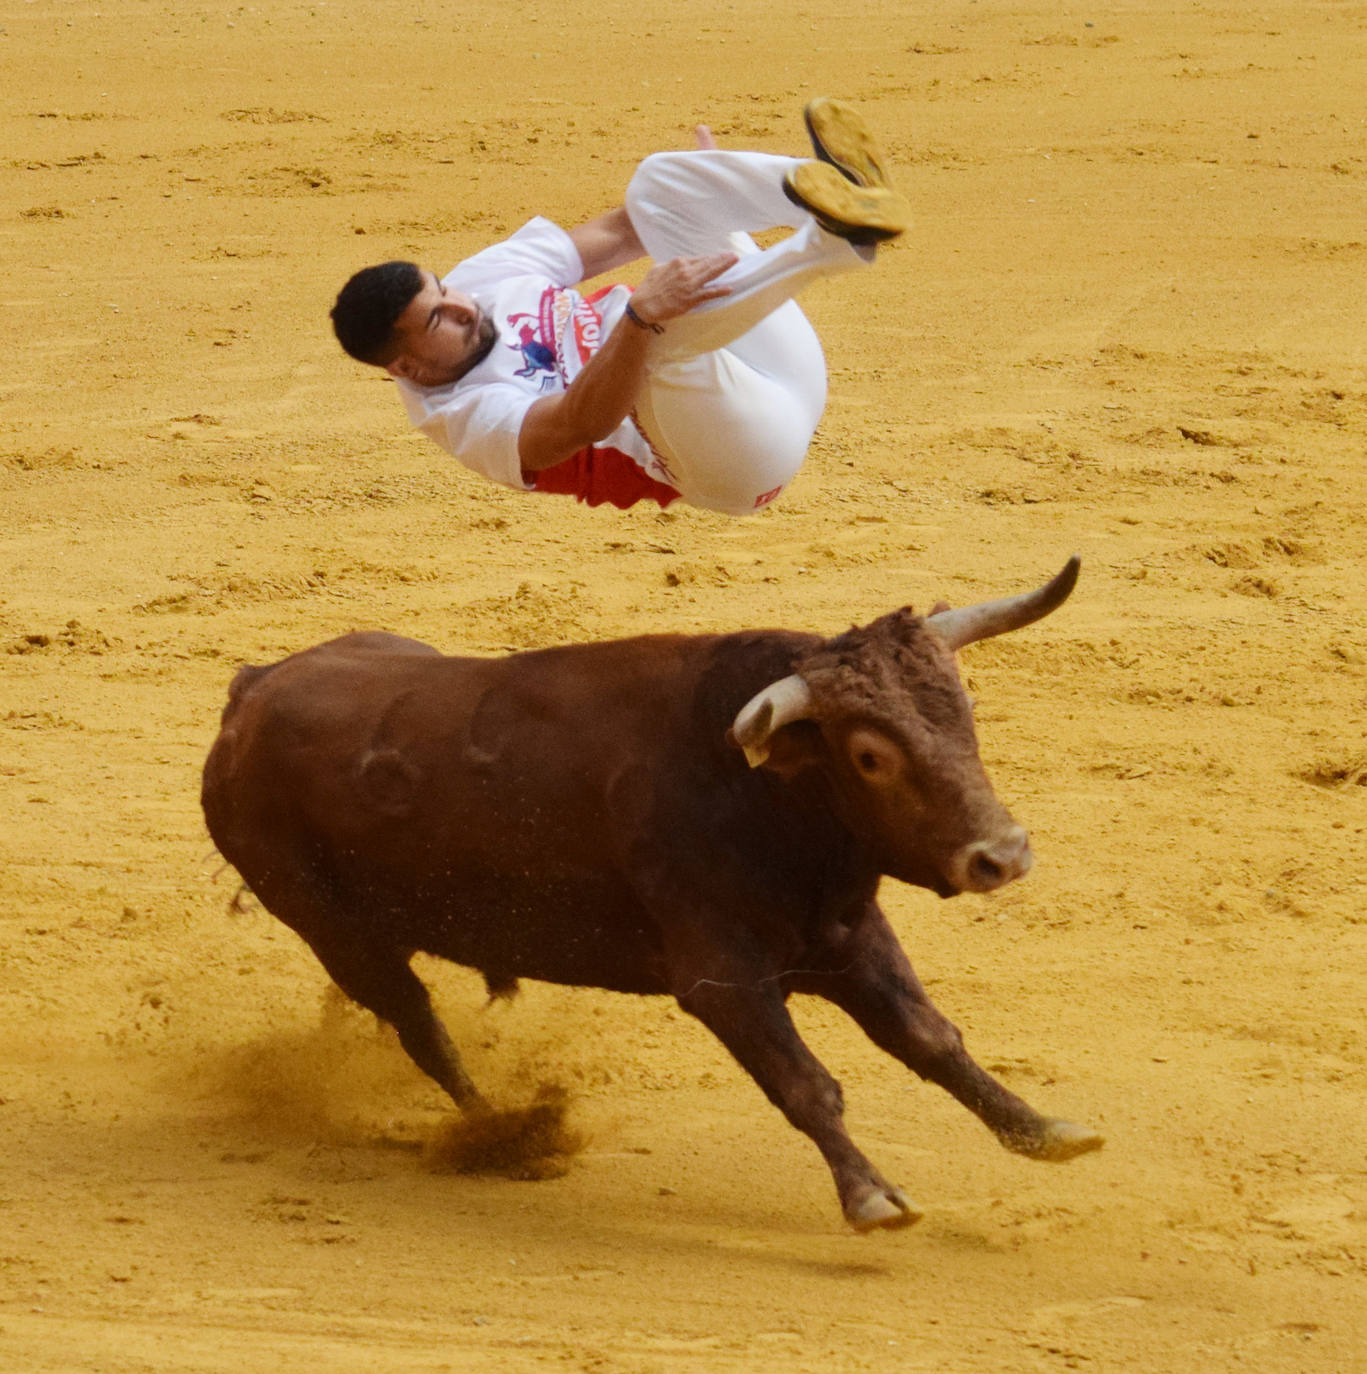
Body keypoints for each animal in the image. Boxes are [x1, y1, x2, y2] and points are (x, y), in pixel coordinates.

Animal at [200, 552, 1099, 1231]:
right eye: (870, 755)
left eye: (962, 710)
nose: (1001, 856)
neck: (759, 793)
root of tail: (250, 693)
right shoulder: (720, 980)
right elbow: (805, 1083)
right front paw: (872, 1197)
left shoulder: (847, 935)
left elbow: (929, 1038)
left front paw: (1044, 1130)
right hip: (335, 931)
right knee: (420, 1026)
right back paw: (499, 1132)